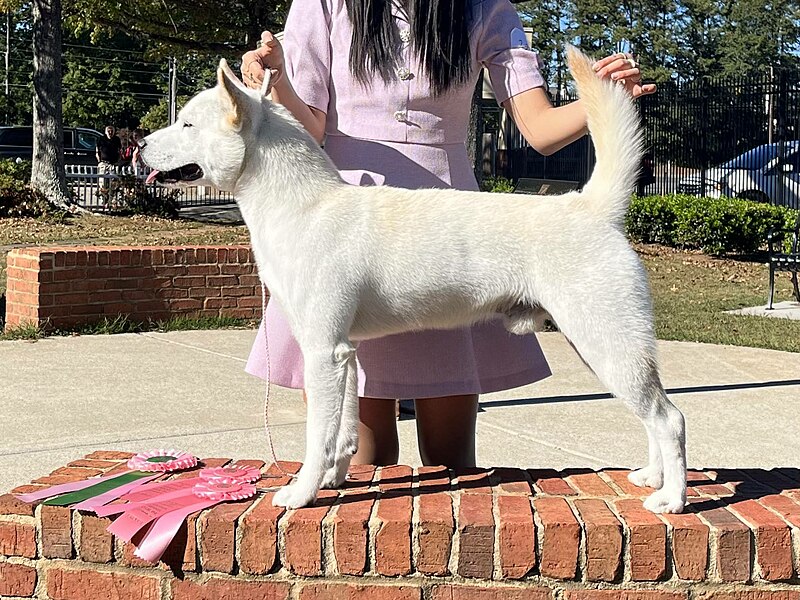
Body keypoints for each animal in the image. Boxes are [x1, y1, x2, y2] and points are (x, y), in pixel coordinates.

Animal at [139, 49, 688, 512]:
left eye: (187, 123)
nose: (139, 144)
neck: (303, 204)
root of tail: (590, 207)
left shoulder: (323, 351)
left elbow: (317, 436)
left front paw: (301, 493)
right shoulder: (345, 354)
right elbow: (342, 433)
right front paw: (335, 479)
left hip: (608, 344)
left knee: (670, 418)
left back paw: (672, 499)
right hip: (606, 349)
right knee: (654, 415)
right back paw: (652, 478)